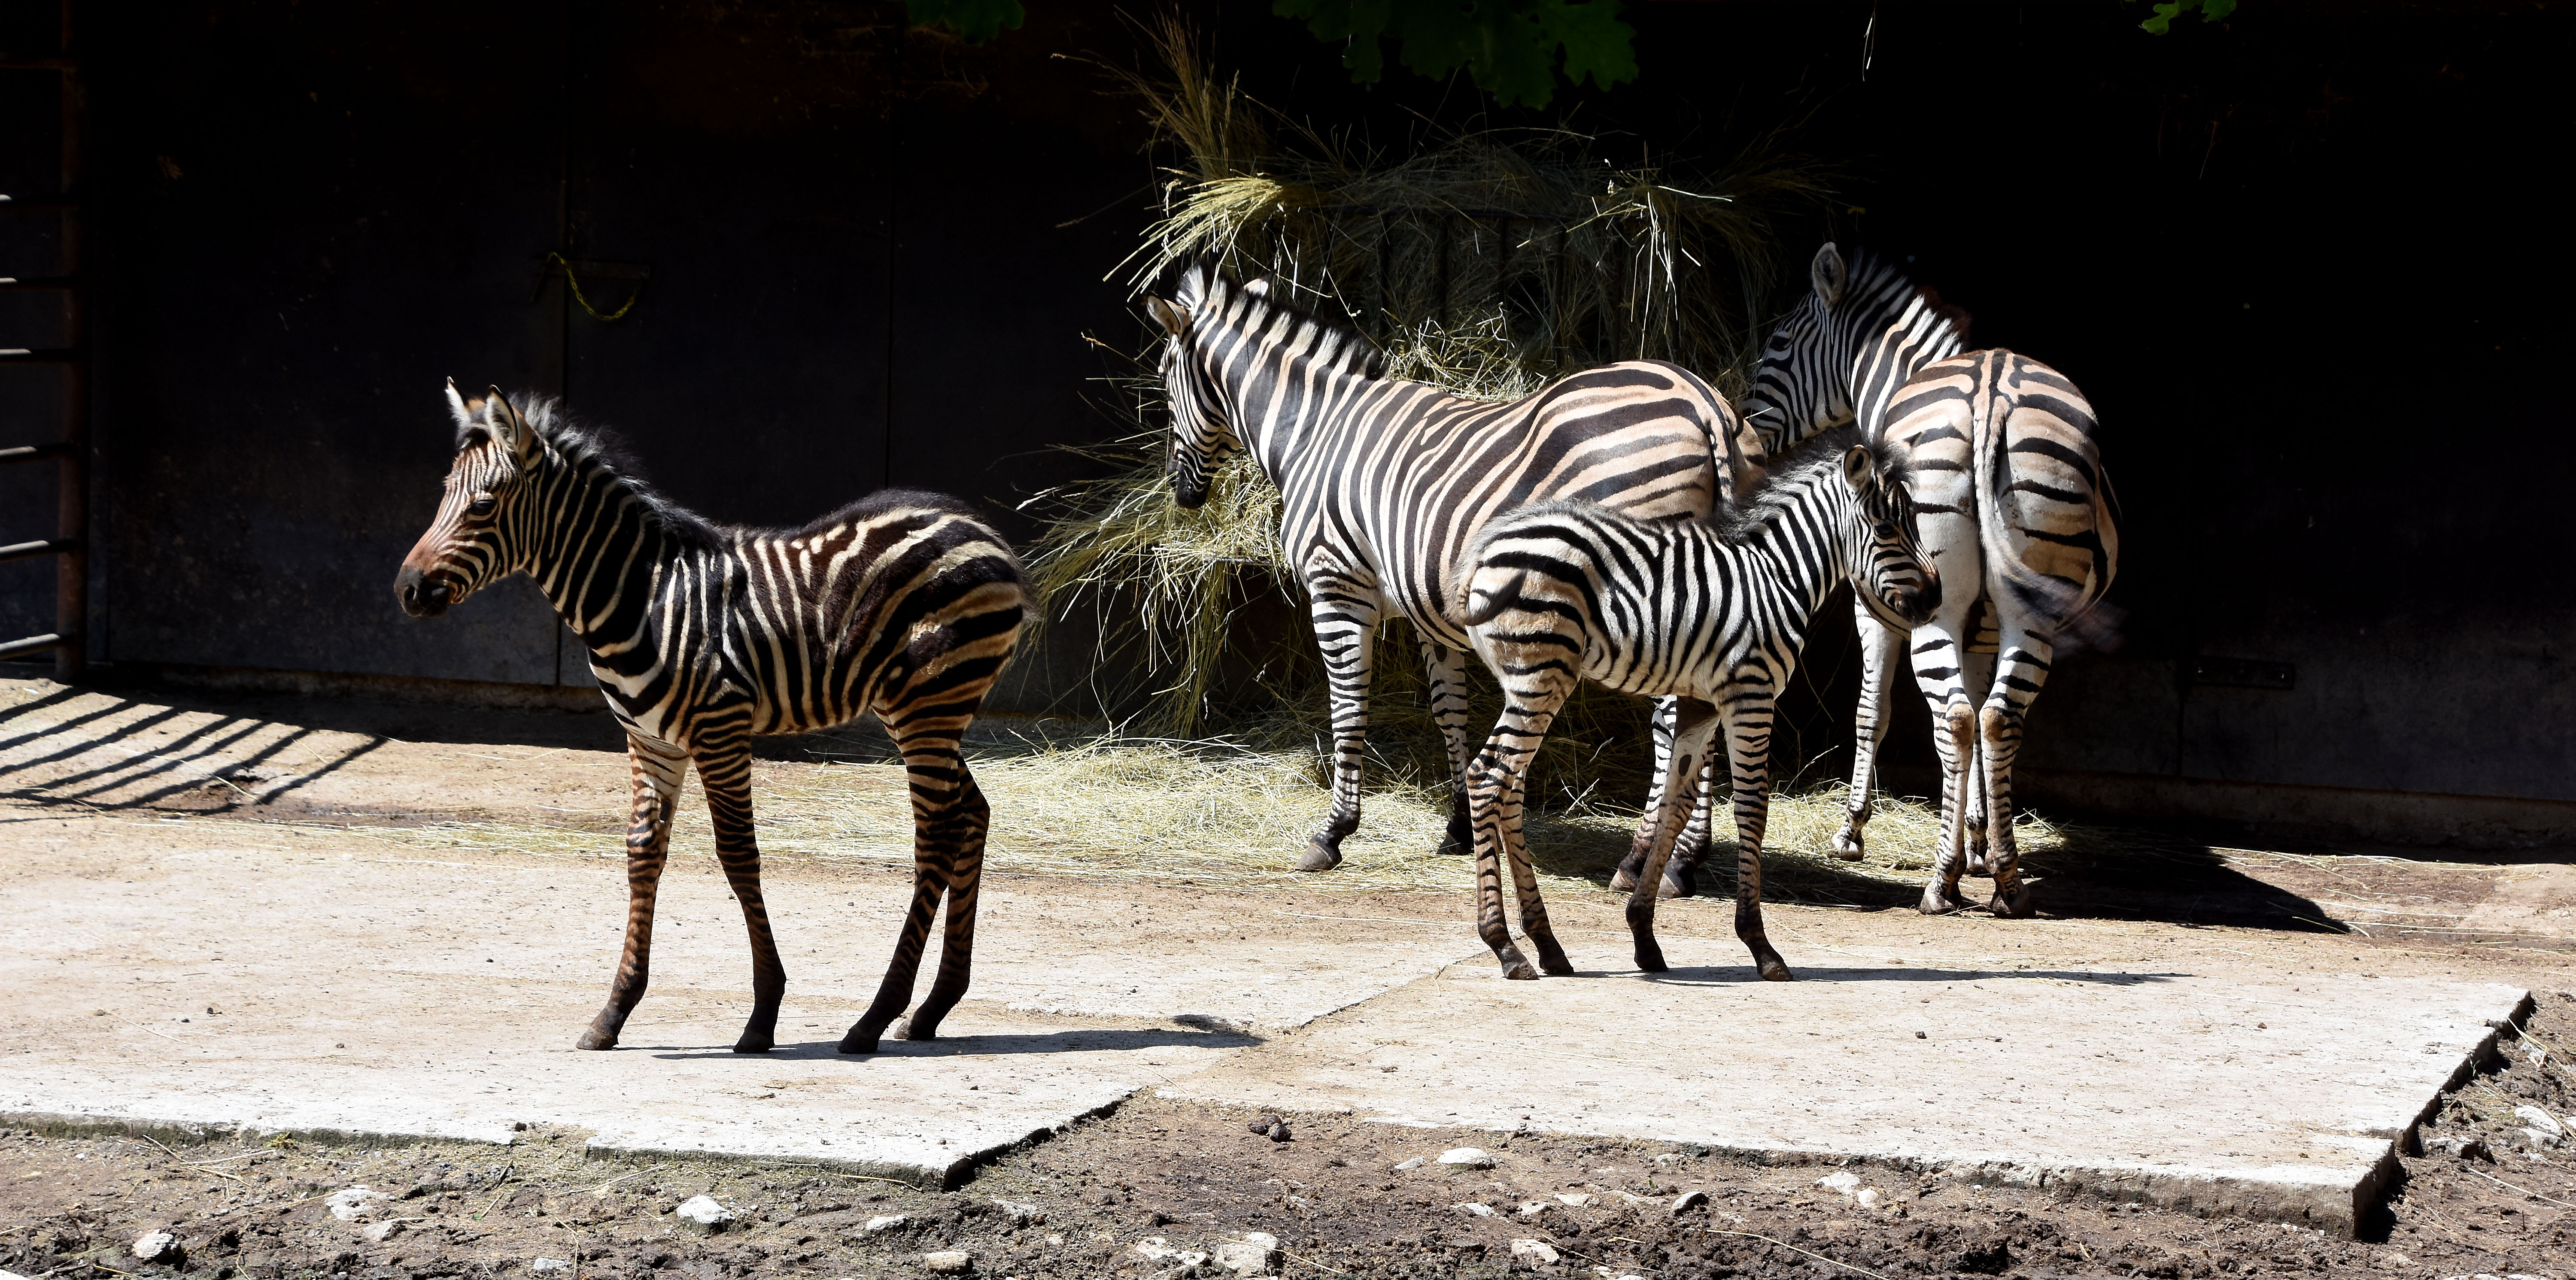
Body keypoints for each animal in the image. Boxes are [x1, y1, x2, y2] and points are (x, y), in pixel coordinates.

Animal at [392, 381, 1025, 1056]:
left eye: (483, 505)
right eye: (444, 494)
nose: (408, 589)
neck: (642, 597)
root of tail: (978, 527)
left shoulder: (720, 727)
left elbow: (738, 854)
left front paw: (763, 1014)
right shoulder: (649, 739)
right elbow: (643, 853)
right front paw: (613, 1012)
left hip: (928, 703)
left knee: (937, 834)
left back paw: (874, 1018)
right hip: (924, 709)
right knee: (972, 814)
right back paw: (933, 1007)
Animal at [1149, 264, 1772, 876]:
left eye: (1162, 380)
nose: (1183, 494)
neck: (1313, 432)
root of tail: (1703, 403)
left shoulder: (1338, 584)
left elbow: (1348, 706)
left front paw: (1333, 832)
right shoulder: (1428, 605)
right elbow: (1449, 709)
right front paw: (1460, 826)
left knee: (1673, 719)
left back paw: (1645, 856)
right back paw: (1684, 858)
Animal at [1453, 435, 1937, 984]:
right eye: (1887, 529)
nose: (1935, 599)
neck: (1777, 578)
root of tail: (1486, 549)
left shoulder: (1699, 704)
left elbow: (1676, 805)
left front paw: (1644, 935)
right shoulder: (1750, 694)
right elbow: (1751, 808)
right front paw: (1760, 946)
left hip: (1528, 682)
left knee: (1509, 786)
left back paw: (1547, 944)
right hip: (1542, 674)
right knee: (1487, 777)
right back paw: (1504, 946)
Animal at [1721, 245, 2123, 912]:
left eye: (1778, 341)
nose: (1746, 432)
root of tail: (1992, 392)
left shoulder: (1877, 608)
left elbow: (1871, 711)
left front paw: (1852, 830)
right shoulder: (1983, 628)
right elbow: (1981, 716)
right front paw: (1980, 838)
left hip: (1935, 606)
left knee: (1957, 715)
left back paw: (1941, 880)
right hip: (2029, 609)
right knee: (1995, 716)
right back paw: (2006, 880)